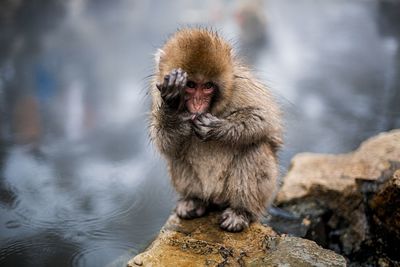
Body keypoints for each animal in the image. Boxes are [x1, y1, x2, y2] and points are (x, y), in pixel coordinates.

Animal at [148, 27, 282, 232]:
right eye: (190, 85)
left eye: (208, 86)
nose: (197, 104)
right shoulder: (158, 93)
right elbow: (164, 141)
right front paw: (172, 103)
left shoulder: (242, 87)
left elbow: (264, 118)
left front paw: (215, 127)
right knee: (176, 156)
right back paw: (195, 201)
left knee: (256, 148)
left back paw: (240, 212)